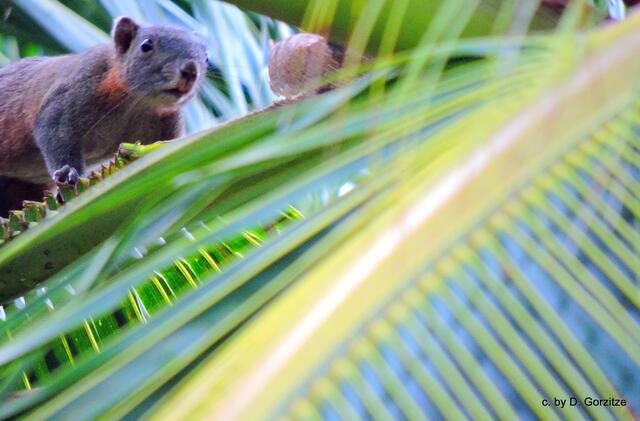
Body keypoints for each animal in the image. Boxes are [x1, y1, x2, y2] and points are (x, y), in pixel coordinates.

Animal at [0, 16, 207, 216]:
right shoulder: (73, 92)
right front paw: (69, 173)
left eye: (206, 56)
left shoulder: (166, 127)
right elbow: (54, 132)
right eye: (146, 45)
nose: (190, 70)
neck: (138, 104)